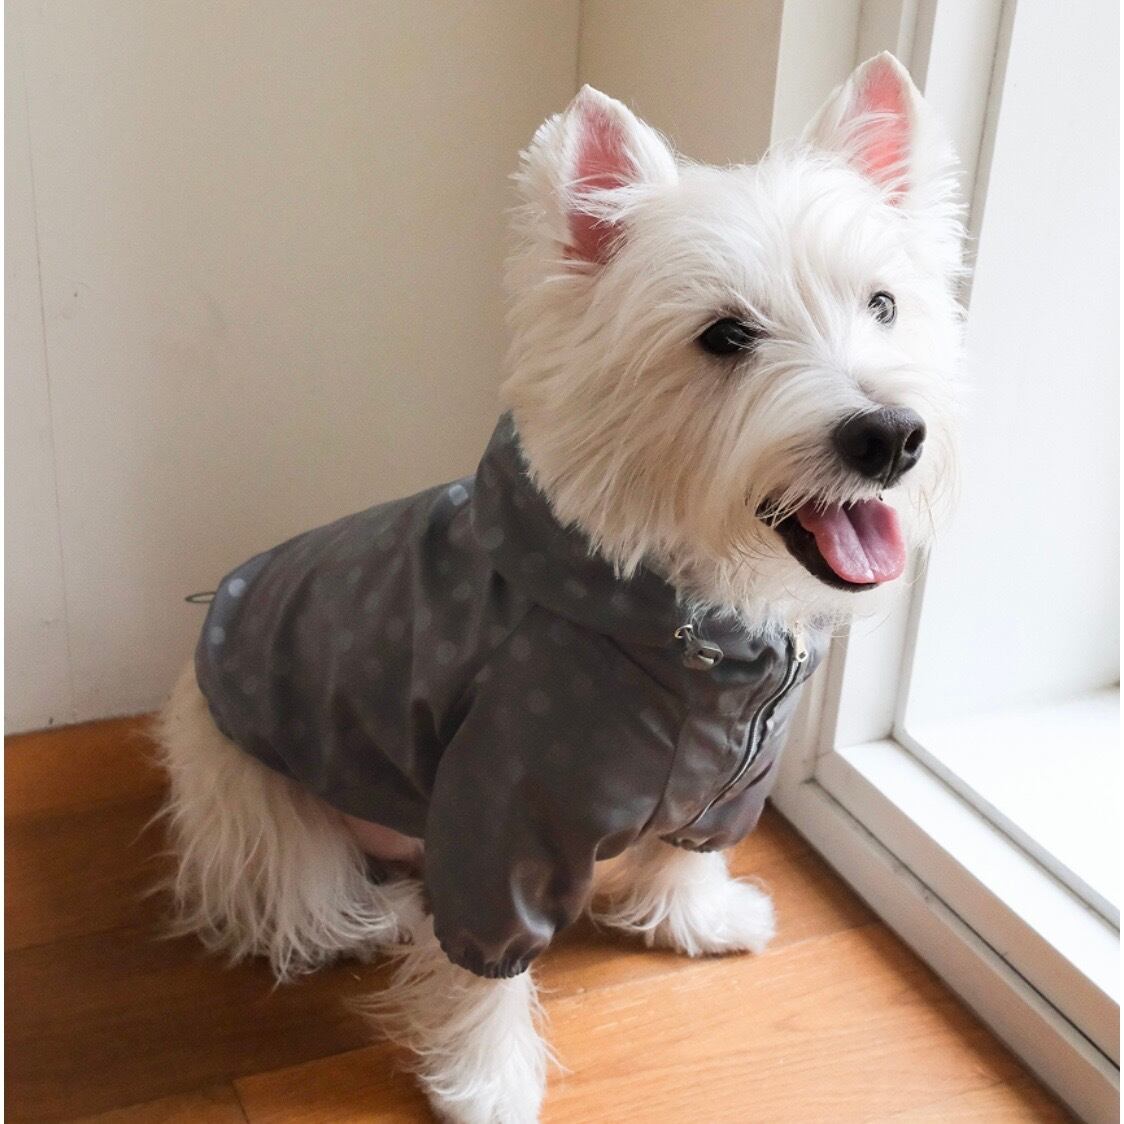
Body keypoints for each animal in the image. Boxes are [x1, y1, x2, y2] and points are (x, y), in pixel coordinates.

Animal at [157, 52, 963, 1123]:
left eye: (882, 304)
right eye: (725, 336)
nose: (890, 435)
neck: (693, 631)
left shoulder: (733, 784)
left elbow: (692, 850)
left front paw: (698, 920)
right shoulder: (501, 811)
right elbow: (483, 967)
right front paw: (488, 1081)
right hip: (261, 792)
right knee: (292, 898)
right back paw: (378, 920)